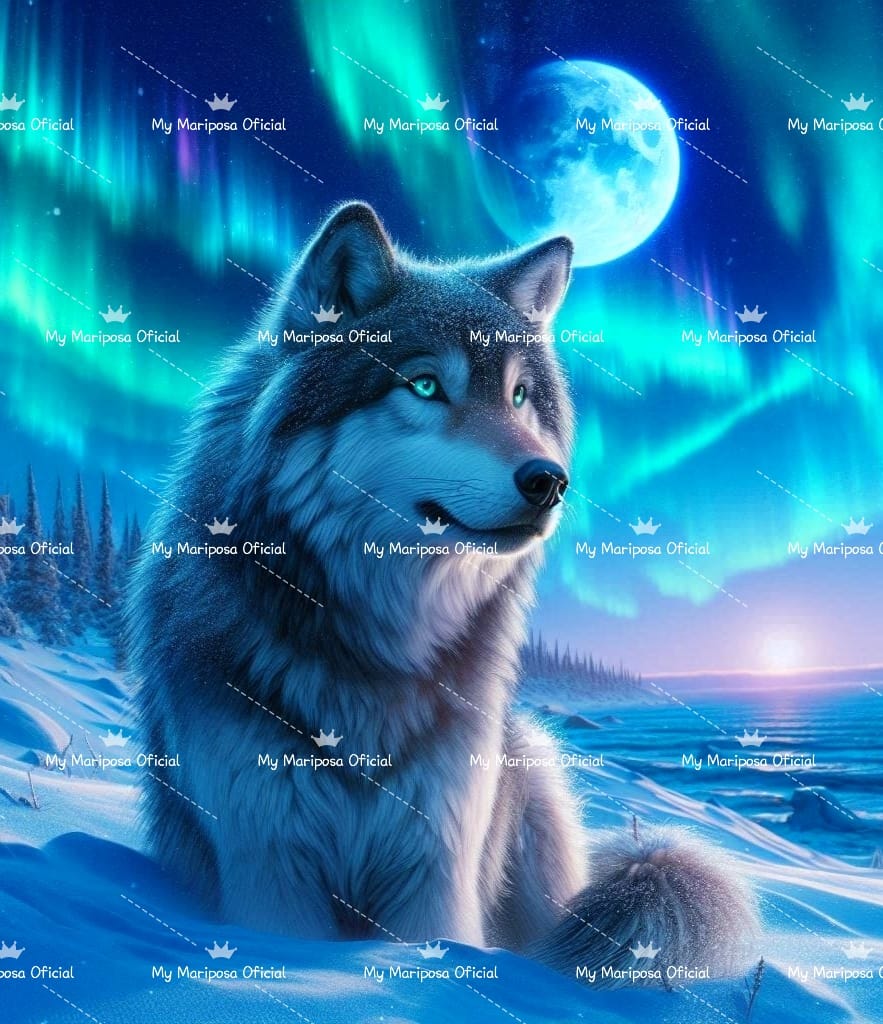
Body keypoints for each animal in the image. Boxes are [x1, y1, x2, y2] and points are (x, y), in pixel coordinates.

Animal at [129, 202, 755, 984]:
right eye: (425, 386)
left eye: (520, 395)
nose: (549, 481)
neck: (380, 653)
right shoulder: (267, 868)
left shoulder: (435, 867)